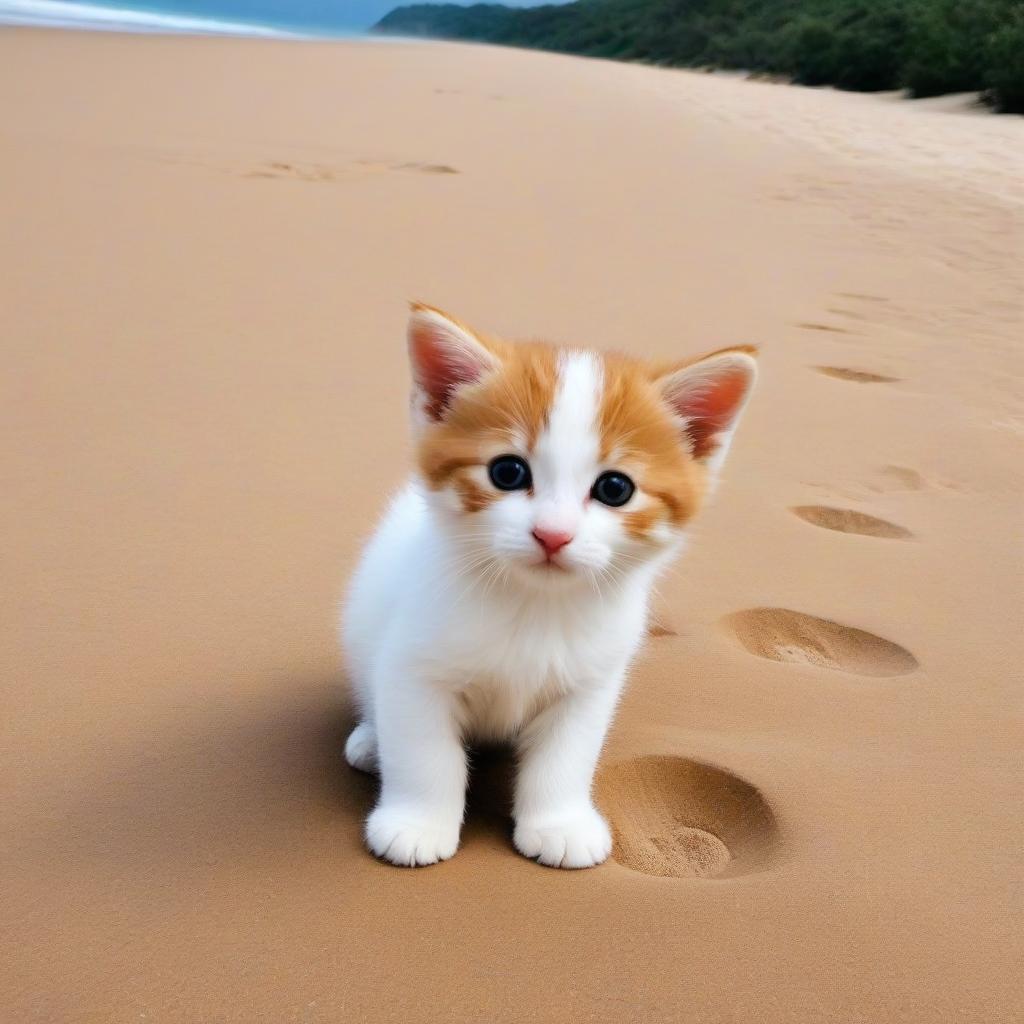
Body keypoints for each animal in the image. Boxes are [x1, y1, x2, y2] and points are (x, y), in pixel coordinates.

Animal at [339, 301, 757, 864]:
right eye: (508, 472)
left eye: (615, 488)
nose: (552, 534)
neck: (535, 604)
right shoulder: (414, 665)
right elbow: (424, 751)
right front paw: (417, 823)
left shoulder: (591, 681)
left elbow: (566, 755)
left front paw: (560, 824)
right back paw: (369, 740)